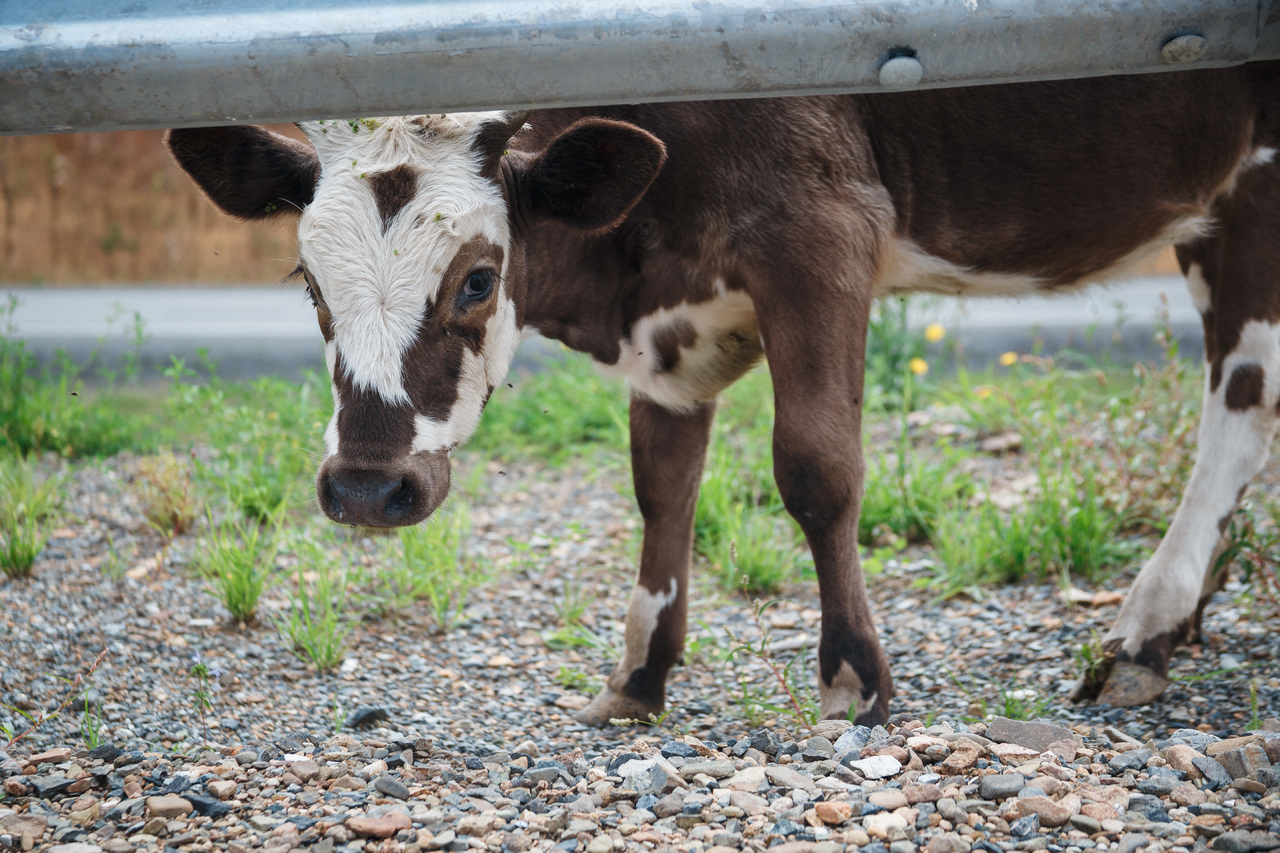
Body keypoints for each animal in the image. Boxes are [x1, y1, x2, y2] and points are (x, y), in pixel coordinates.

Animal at [170, 61, 1280, 722]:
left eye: (479, 280)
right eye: (308, 280)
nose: (366, 488)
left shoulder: (821, 231)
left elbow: (817, 467)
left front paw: (851, 674)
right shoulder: (672, 333)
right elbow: (662, 486)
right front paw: (639, 676)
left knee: (1243, 395)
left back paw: (1142, 625)